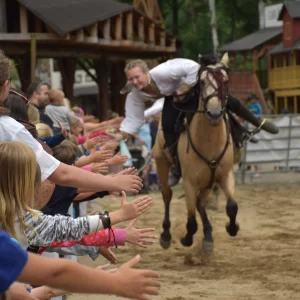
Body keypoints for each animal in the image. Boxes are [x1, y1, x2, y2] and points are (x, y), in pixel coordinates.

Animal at [152, 52, 239, 252]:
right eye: (202, 82)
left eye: (226, 81)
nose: (214, 113)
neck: (210, 142)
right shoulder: (190, 183)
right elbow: (191, 221)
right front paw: (186, 239)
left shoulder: (225, 175)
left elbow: (232, 206)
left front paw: (232, 227)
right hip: (161, 164)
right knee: (167, 195)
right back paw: (166, 235)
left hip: (208, 181)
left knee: (201, 204)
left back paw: (208, 236)